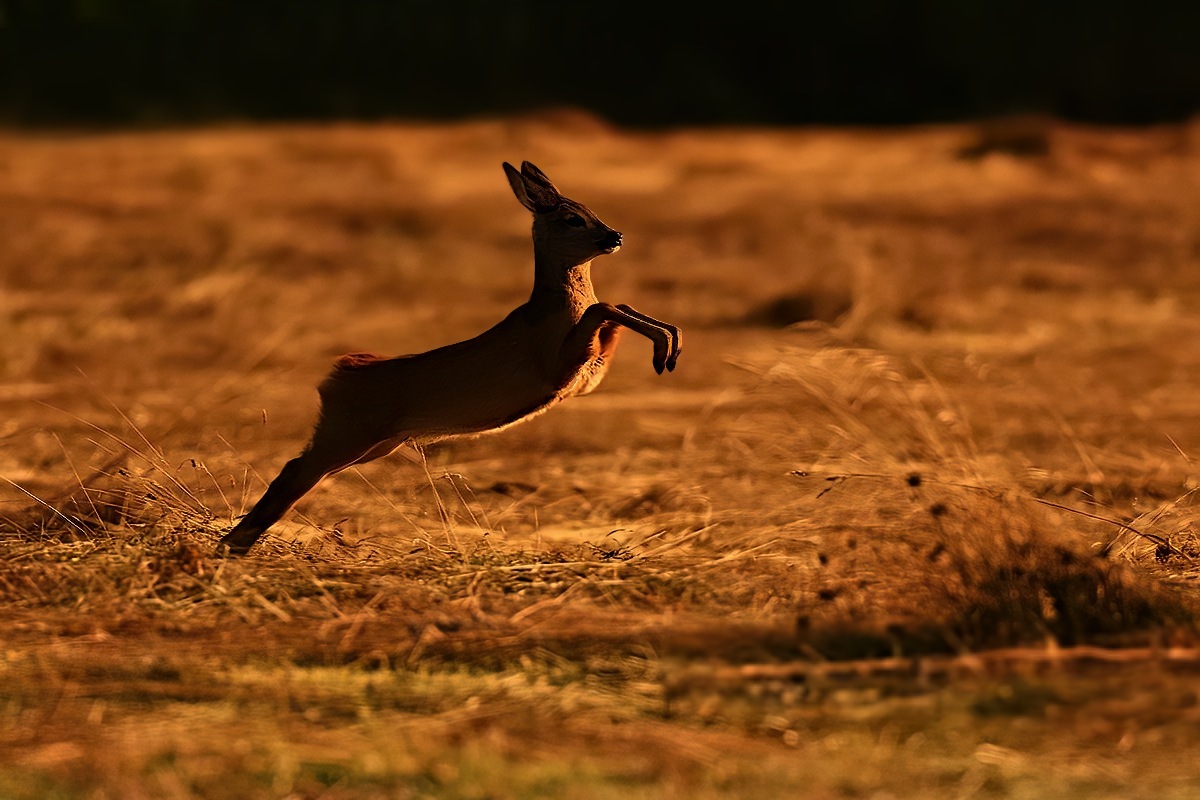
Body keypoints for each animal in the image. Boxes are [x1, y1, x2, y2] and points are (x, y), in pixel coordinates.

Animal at [217, 159, 681, 554]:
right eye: (573, 218)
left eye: (590, 210)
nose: (615, 236)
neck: (553, 308)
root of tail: (338, 372)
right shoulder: (557, 367)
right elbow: (605, 307)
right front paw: (665, 352)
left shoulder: (586, 378)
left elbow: (616, 308)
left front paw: (672, 346)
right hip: (348, 434)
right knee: (294, 471)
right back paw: (232, 545)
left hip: (375, 443)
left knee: (295, 468)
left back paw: (235, 545)